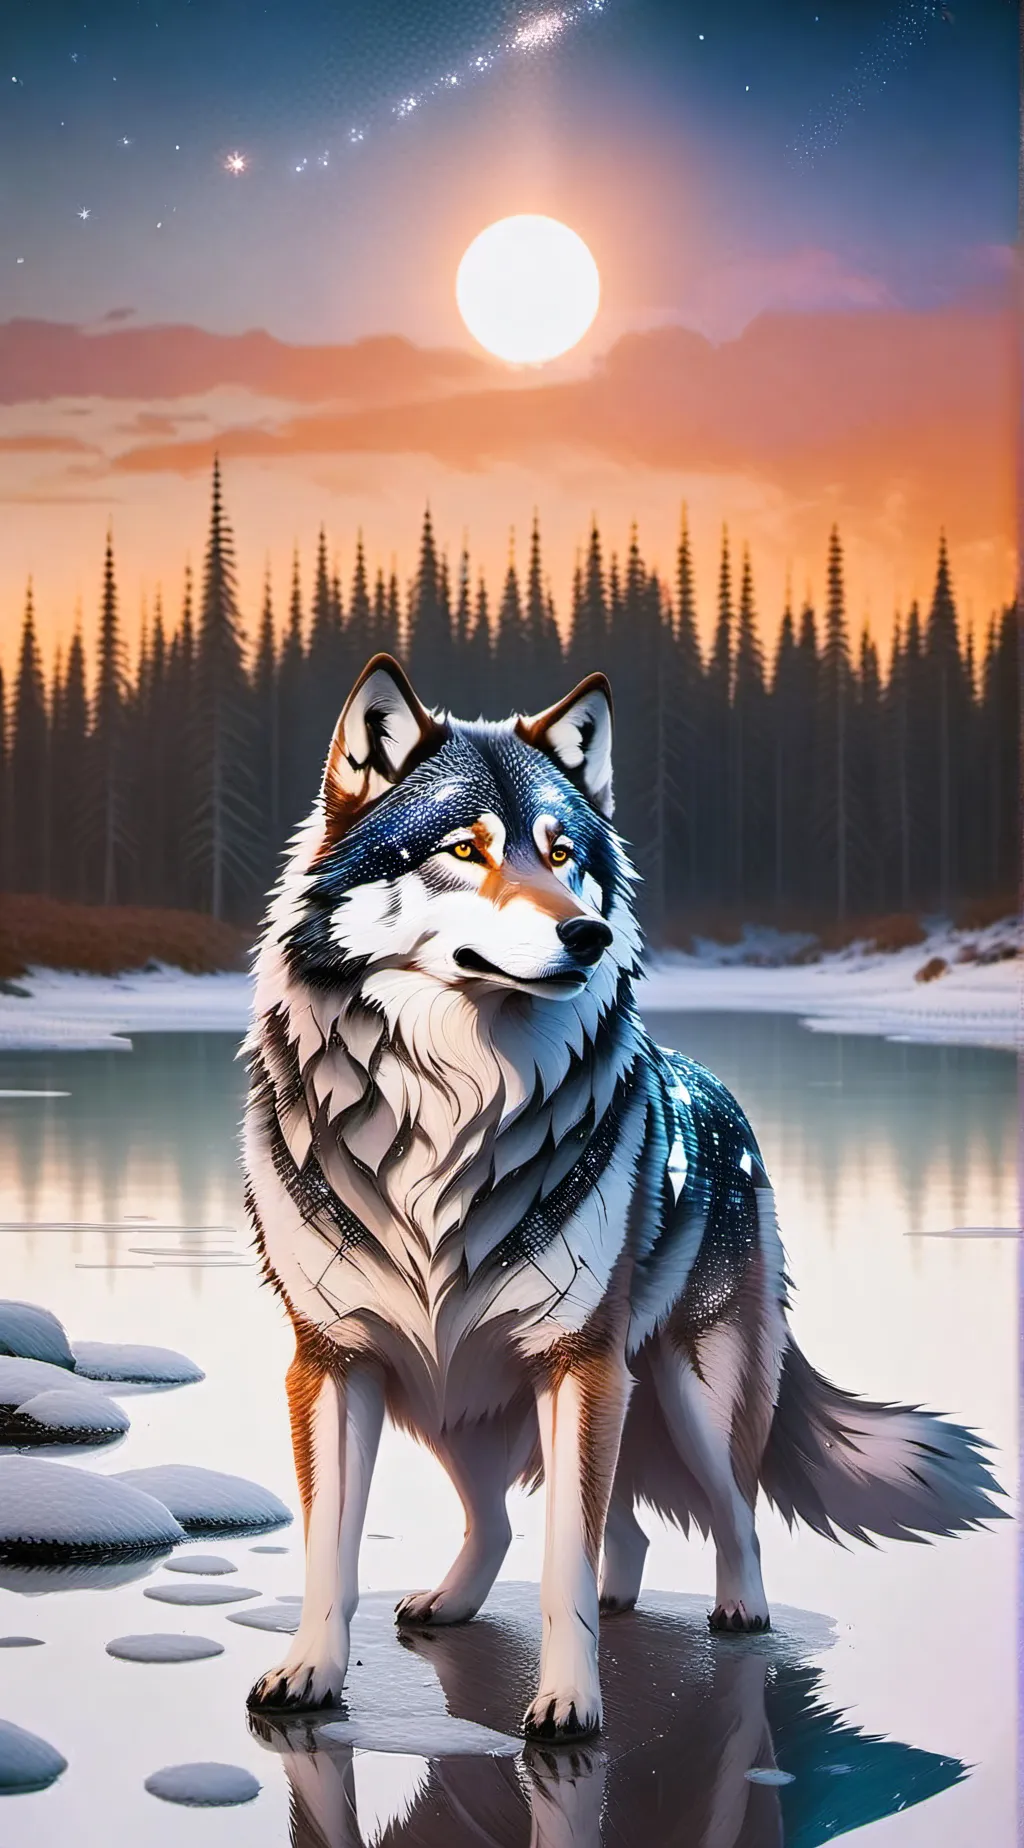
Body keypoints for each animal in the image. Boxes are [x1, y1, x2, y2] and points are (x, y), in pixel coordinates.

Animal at [243, 653, 1002, 1741]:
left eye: (563, 855)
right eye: (465, 850)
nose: (589, 933)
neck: (453, 1109)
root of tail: (723, 1093)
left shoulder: (579, 1362)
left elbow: (567, 1553)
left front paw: (568, 1705)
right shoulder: (333, 1362)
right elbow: (330, 1554)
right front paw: (308, 1673)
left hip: (687, 1392)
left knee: (728, 1512)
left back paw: (738, 1612)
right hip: (454, 1398)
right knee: (536, 1524)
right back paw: (468, 1602)